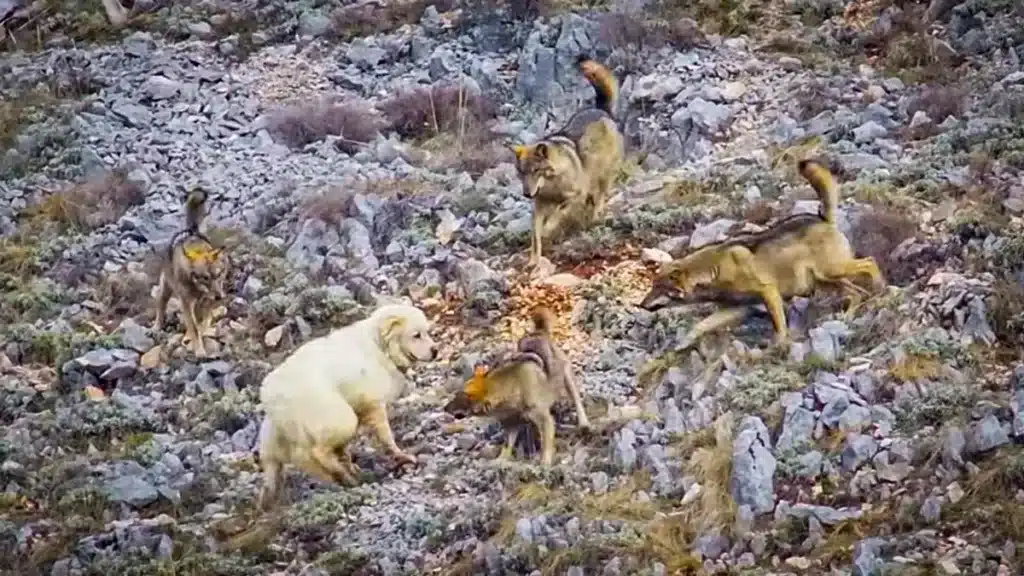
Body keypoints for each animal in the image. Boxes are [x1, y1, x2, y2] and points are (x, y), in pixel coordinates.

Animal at [151, 186, 228, 356]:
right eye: (205, 277)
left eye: (219, 274)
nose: (219, 297)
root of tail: (191, 230)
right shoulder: (186, 302)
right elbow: (194, 327)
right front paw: (199, 351)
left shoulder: (207, 301)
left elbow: (202, 323)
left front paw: (200, 337)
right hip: (166, 289)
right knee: (160, 306)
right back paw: (156, 327)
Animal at [254, 301, 436, 506]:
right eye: (416, 335)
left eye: (427, 332)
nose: (435, 351)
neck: (380, 347)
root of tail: (269, 395)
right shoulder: (372, 403)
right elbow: (385, 435)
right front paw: (401, 454)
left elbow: (345, 450)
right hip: (339, 417)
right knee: (317, 452)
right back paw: (341, 475)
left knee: (302, 459)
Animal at [512, 56, 622, 266]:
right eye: (521, 173)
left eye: (536, 171)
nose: (527, 194)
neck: (552, 185)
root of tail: (601, 110)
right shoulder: (538, 207)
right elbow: (535, 237)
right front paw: (533, 260)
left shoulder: (573, 196)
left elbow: (557, 214)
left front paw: (548, 229)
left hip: (603, 175)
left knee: (600, 198)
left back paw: (595, 216)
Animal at [638, 157, 888, 350]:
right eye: (652, 286)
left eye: (659, 288)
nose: (640, 305)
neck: (712, 270)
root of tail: (822, 218)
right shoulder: (734, 308)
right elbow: (701, 325)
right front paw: (682, 343)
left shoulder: (768, 292)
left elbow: (779, 324)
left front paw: (781, 343)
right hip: (827, 280)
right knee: (857, 293)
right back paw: (848, 315)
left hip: (832, 271)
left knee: (869, 262)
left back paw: (881, 287)